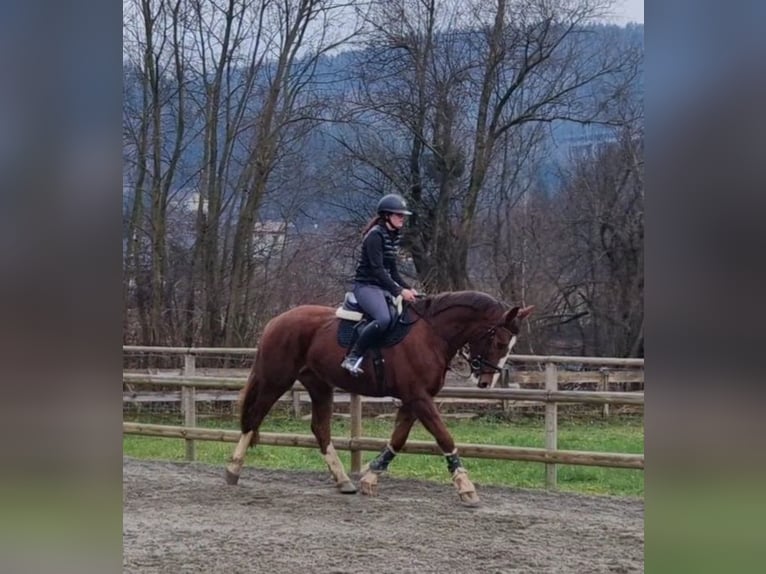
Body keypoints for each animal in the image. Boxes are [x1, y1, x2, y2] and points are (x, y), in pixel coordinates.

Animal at [225, 290, 534, 506]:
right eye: (499, 342)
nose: (486, 382)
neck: (432, 334)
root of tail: (277, 320)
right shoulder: (419, 397)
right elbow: (444, 437)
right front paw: (465, 487)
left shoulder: (412, 399)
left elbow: (398, 438)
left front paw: (371, 478)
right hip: (276, 380)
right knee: (254, 418)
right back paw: (233, 469)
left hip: (319, 385)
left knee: (320, 429)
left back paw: (343, 480)